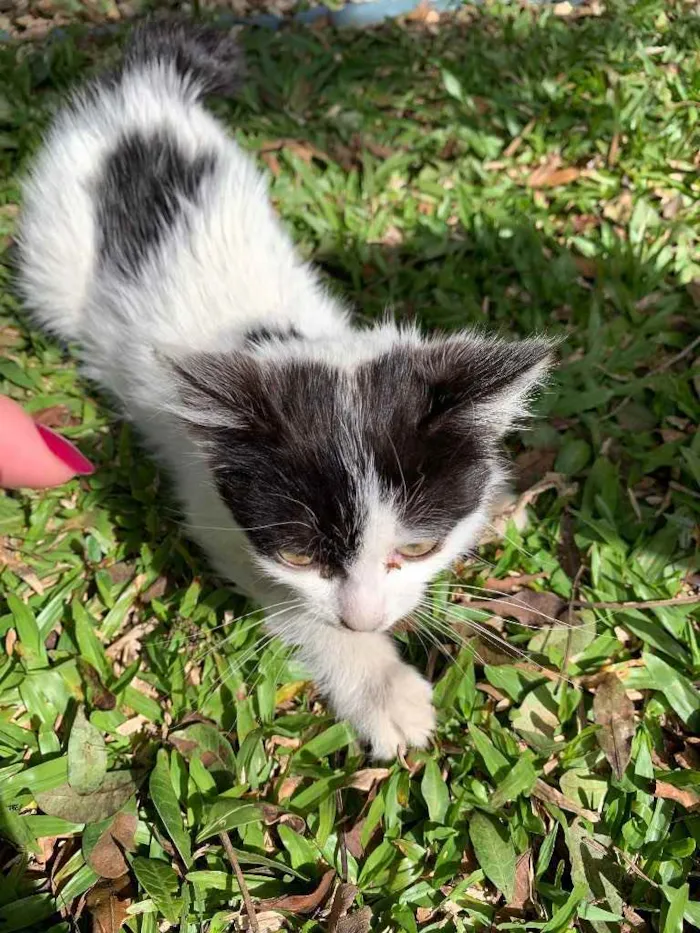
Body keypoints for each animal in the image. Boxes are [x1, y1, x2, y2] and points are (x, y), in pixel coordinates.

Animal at [17, 21, 552, 760]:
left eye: (417, 549)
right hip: (55, 248)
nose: (364, 621)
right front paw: (382, 689)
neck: (282, 339)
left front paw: (497, 501)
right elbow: (293, 603)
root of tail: (146, 91)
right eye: (300, 554)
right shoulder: (211, 505)